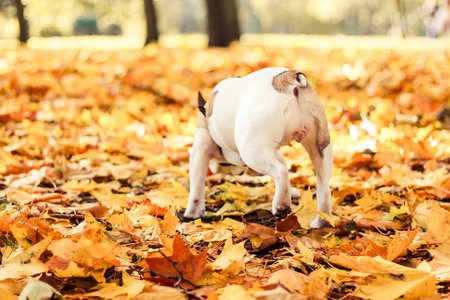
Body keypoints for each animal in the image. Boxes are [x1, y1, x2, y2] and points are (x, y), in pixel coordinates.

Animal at [184, 68, 334, 227]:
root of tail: (287, 78)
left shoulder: (200, 148)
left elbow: (197, 184)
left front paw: (193, 213)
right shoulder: (273, 150)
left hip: (252, 151)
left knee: (281, 171)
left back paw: (282, 205)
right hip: (320, 146)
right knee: (323, 187)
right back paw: (322, 223)